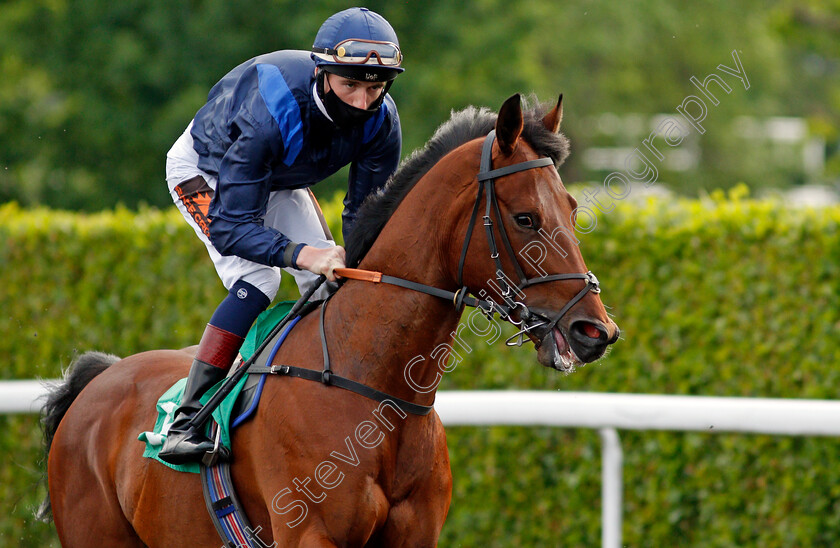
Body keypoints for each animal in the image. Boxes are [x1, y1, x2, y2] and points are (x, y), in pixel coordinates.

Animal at [41, 92, 616, 544]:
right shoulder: (311, 533)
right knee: (251, 283)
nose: (595, 331)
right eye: (526, 218)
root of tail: (101, 377)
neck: (376, 389)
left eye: (572, 209)